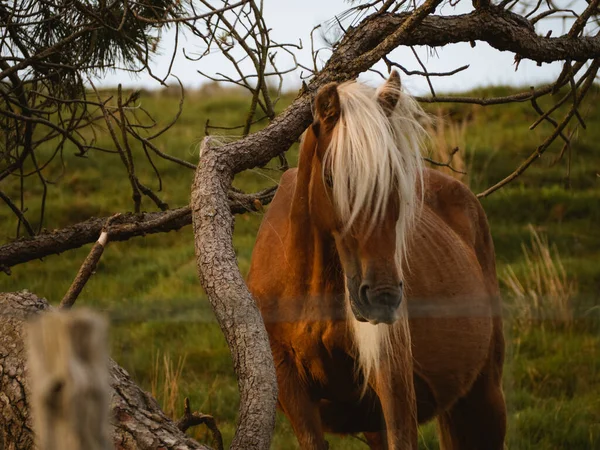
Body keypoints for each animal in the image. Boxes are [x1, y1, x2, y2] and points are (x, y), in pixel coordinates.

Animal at [247, 72, 506, 448]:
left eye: (398, 180)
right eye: (331, 178)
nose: (383, 297)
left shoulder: (393, 384)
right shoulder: (292, 386)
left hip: (483, 397)